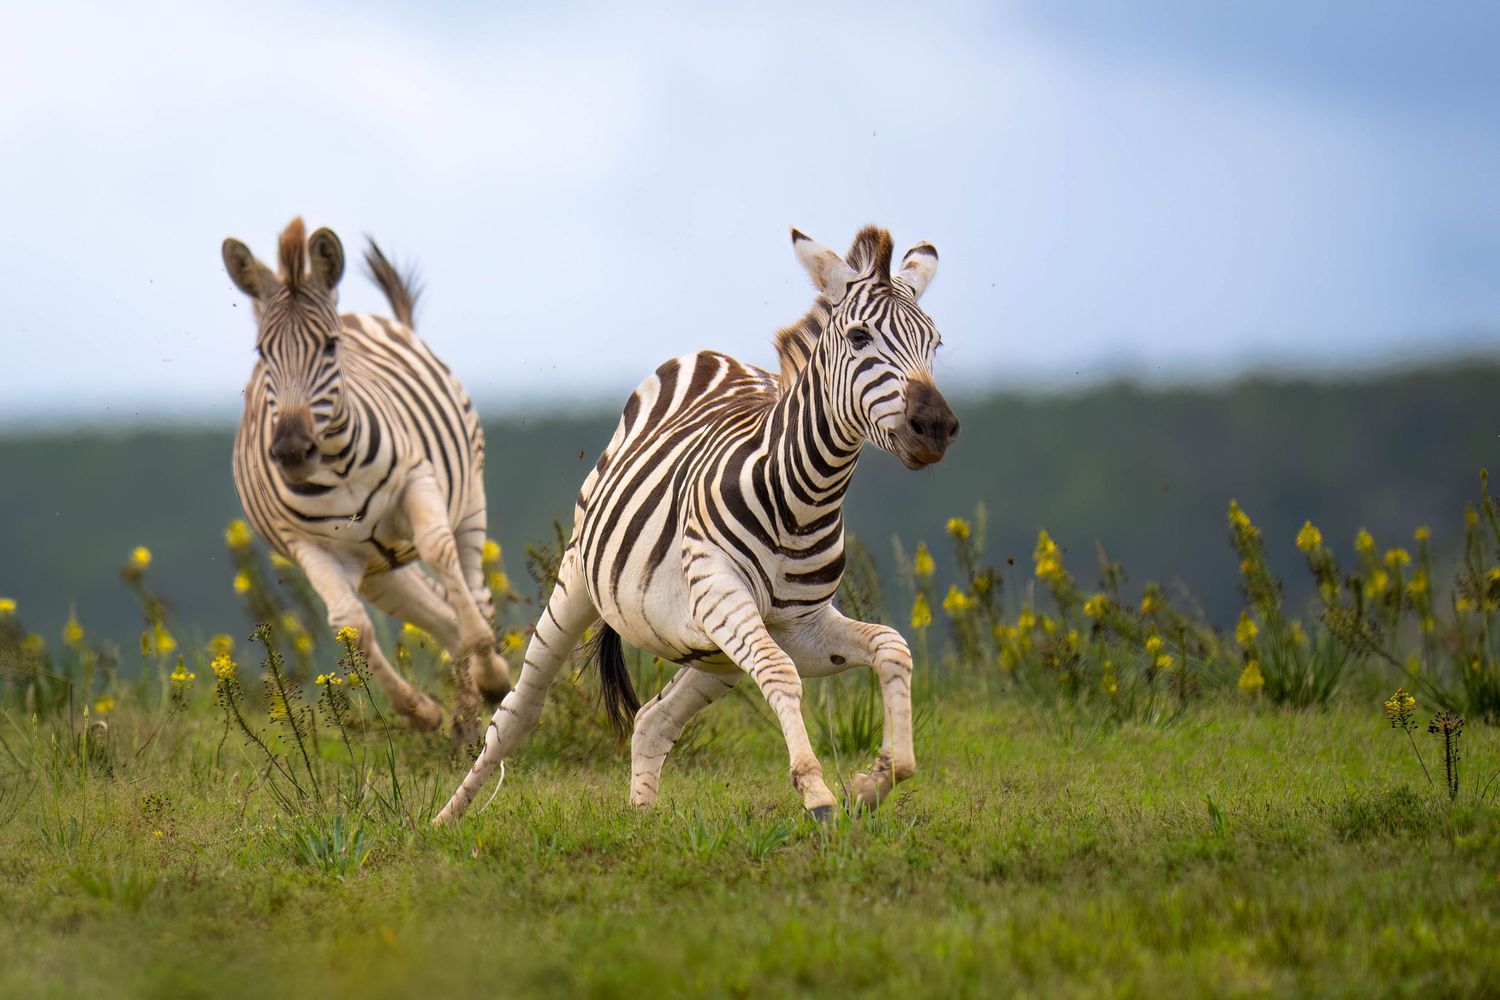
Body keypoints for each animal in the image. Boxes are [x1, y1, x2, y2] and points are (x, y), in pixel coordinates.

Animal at [222, 217, 510, 735]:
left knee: (473, 590)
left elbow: (438, 550)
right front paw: (418, 710)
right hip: (378, 567)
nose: (291, 450)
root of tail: (364, 314)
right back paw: (464, 718)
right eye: (261, 352)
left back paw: (488, 681)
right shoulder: (307, 545)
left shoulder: (417, 480)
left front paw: (490, 672)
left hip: (468, 500)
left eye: (330, 346)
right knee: (442, 614)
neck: (338, 464)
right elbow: (347, 621)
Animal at [435, 225, 957, 823]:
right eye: (858, 336)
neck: (803, 500)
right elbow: (781, 672)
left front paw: (873, 783)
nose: (935, 426)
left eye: (935, 343)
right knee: (518, 712)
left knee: (652, 719)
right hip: (579, 586)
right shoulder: (721, 592)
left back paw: (642, 821)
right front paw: (818, 794)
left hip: (715, 654)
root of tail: (714, 356)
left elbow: (892, 647)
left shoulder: (796, 627)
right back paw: (445, 819)